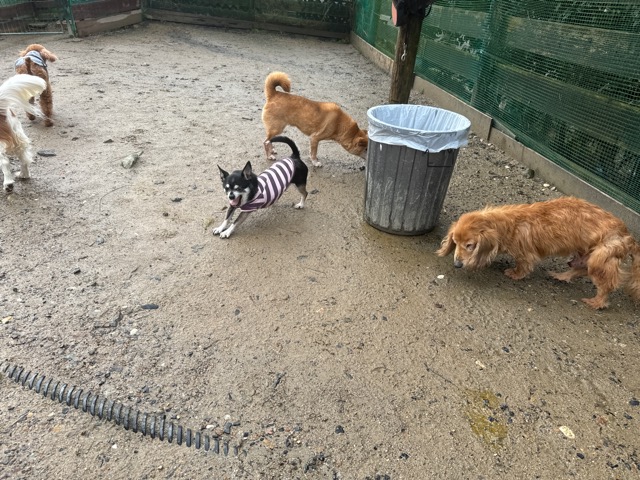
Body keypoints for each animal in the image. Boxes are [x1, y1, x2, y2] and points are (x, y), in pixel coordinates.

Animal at [436, 196, 640, 309]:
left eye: (470, 245)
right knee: (579, 269)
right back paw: (561, 276)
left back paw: (597, 302)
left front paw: (515, 274)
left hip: (599, 258)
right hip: (584, 256)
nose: (457, 264)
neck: (508, 224)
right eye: (456, 242)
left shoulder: (525, 254)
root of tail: (628, 237)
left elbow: (523, 265)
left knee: (607, 285)